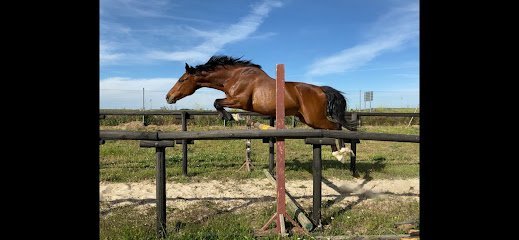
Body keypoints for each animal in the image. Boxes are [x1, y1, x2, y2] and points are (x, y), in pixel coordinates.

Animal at [167, 55, 358, 161]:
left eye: (182, 80)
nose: (168, 97)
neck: (234, 77)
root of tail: (320, 89)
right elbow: (218, 102)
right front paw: (232, 117)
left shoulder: (239, 101)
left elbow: (217, 102)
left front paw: (229, 117)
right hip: (307, 118)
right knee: (332, 129)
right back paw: (338, 153)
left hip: (314, 117)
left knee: (335, 127)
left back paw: (341, 153)